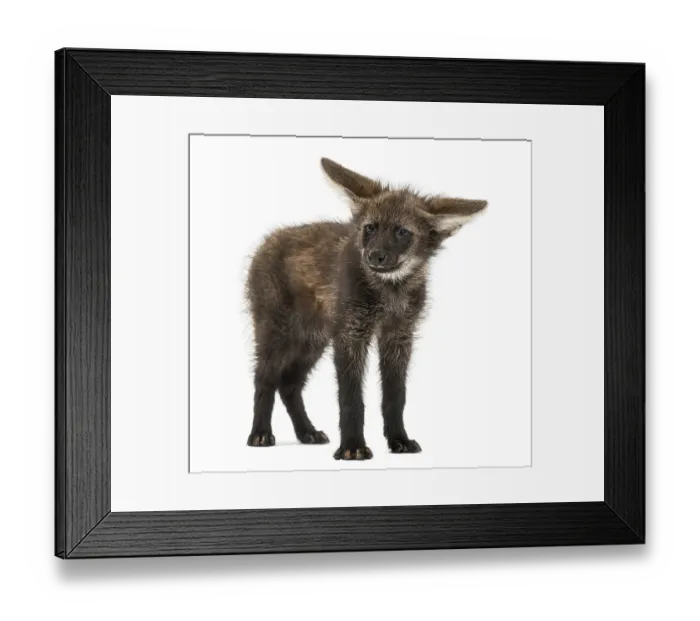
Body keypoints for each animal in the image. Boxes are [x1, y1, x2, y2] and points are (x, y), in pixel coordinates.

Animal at [245, 158, 488, 460]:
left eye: (402, 232)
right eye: (370, 228)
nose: (374, 256)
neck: (389, 291)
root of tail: (267, 241)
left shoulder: (398, 336)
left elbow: (395, 396)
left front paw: (399, 440)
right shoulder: (351, 335)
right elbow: (351, 398)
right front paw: (352, 447)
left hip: (313, 339)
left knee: (289, 384)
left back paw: (307, 433)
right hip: (277, 332)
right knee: (264, 378)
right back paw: (260, 433)